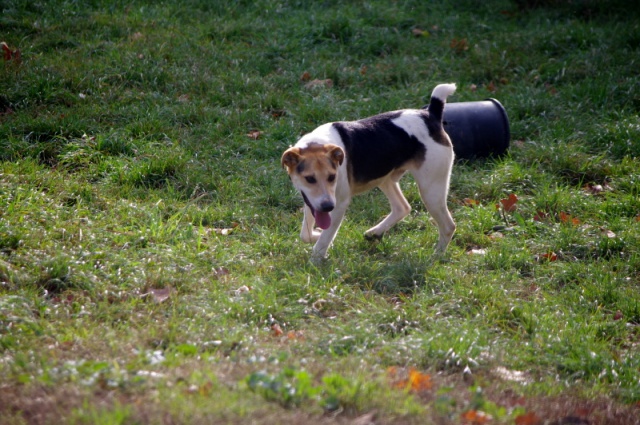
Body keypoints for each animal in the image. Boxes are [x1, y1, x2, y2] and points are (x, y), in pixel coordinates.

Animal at [282, 83, 458, 258]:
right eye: (310, 179)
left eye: (332, 177)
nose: (327, 207)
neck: (317, 143)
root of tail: (430, 115)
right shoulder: (313, 202)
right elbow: (305, 235)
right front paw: (317, 235)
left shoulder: (338, 205)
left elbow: (322, 242)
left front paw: (317, 259)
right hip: (386, 179)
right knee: (402, 207)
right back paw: (375, 233)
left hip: (431, 191)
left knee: (448, 226)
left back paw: (436, 255)